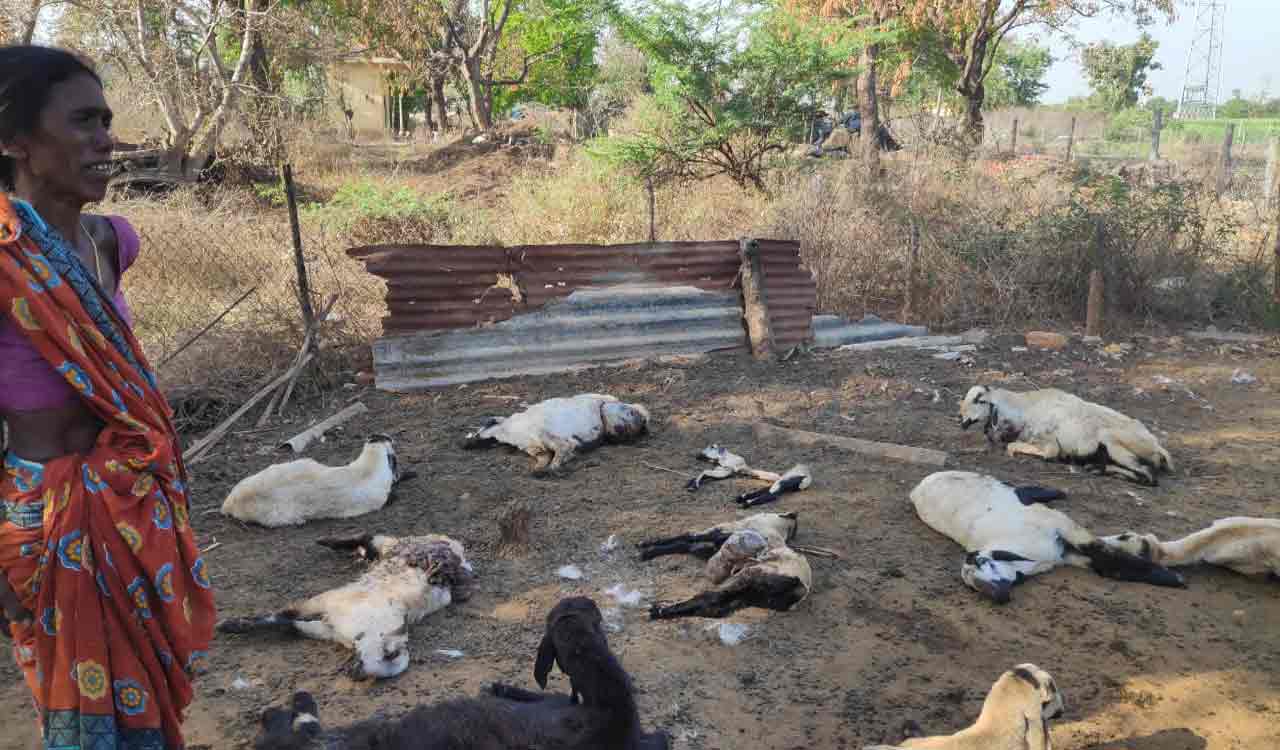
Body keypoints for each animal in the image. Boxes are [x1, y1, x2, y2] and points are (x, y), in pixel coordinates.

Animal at [216, 532, 473, 679]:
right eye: (387, 655)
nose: (355, 674)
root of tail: (454, 546)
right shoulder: (327, 601)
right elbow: (283, 614)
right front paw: (230, 624)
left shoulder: (324, 627)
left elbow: (290, 625)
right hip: (397, 546)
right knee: (370, 536)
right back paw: (327, 541)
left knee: (369, 545)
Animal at [463, 394, 650, 475]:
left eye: (478, 431)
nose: (463, 445)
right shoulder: (539, 449)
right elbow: (541, 464)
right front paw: (540, 470)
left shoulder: (557, 441)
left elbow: (557, 460)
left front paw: (559, 469)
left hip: (612, 421)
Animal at [911, 471, 1184, 604]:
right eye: (971, 586)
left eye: (984, 563)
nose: (998, 596)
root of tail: (916, 489)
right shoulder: (1066, 554)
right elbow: (1107, 564)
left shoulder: (1065, 529)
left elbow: (1105, 554)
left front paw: (1174, 579)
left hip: (993, 486)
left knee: (1021, 490)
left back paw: (1055, 492)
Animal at [958, 385, 1173, 486]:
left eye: (979, 400)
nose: (960, 418)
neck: (1025, 409)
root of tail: (1158, 447)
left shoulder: (1050, 445)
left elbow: (1033, 451)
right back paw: (1094, 468)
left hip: (1114, 443)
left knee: (1148, 475)